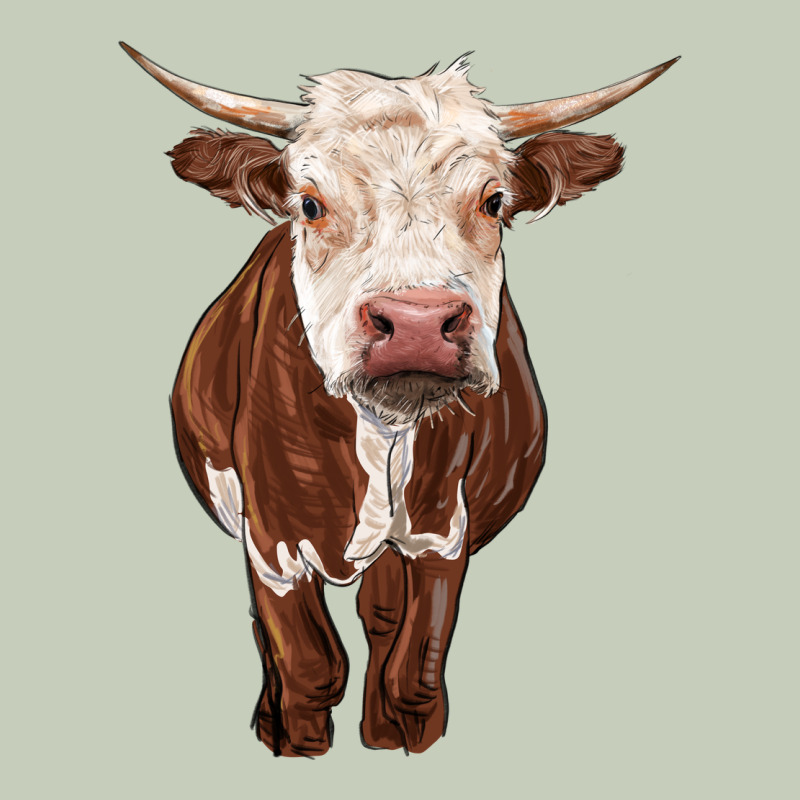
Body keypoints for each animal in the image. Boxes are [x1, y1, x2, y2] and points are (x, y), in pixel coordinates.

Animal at [122, 43, 677, 756]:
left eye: (495, 201)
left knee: (381, 620)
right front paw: (296, 745)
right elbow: (309, 667)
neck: (381, 434)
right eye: (309, 204)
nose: (416, 323)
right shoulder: (270, 540)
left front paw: (403, 740)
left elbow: (414, 671)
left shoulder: (442, 528)